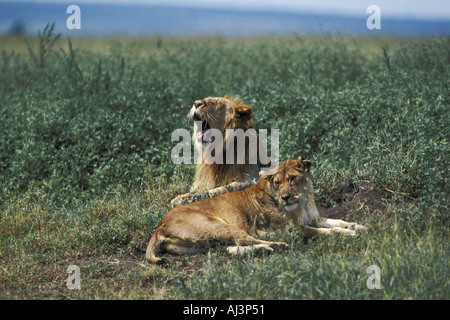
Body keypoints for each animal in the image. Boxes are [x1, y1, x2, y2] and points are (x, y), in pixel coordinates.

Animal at [146, 156, 364, 264]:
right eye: (277, 183)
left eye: (293, 179)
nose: (285, 197)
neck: (303, 200)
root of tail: (160, 224)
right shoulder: (293, 228)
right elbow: (325, 231)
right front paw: (348, 233)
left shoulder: (314, 219)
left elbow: (336, 222)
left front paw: (357, 226)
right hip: (220, 227)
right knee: (247, 239)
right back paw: (277, 245)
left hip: (205, 243)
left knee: (231, 248)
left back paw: (265, 249)